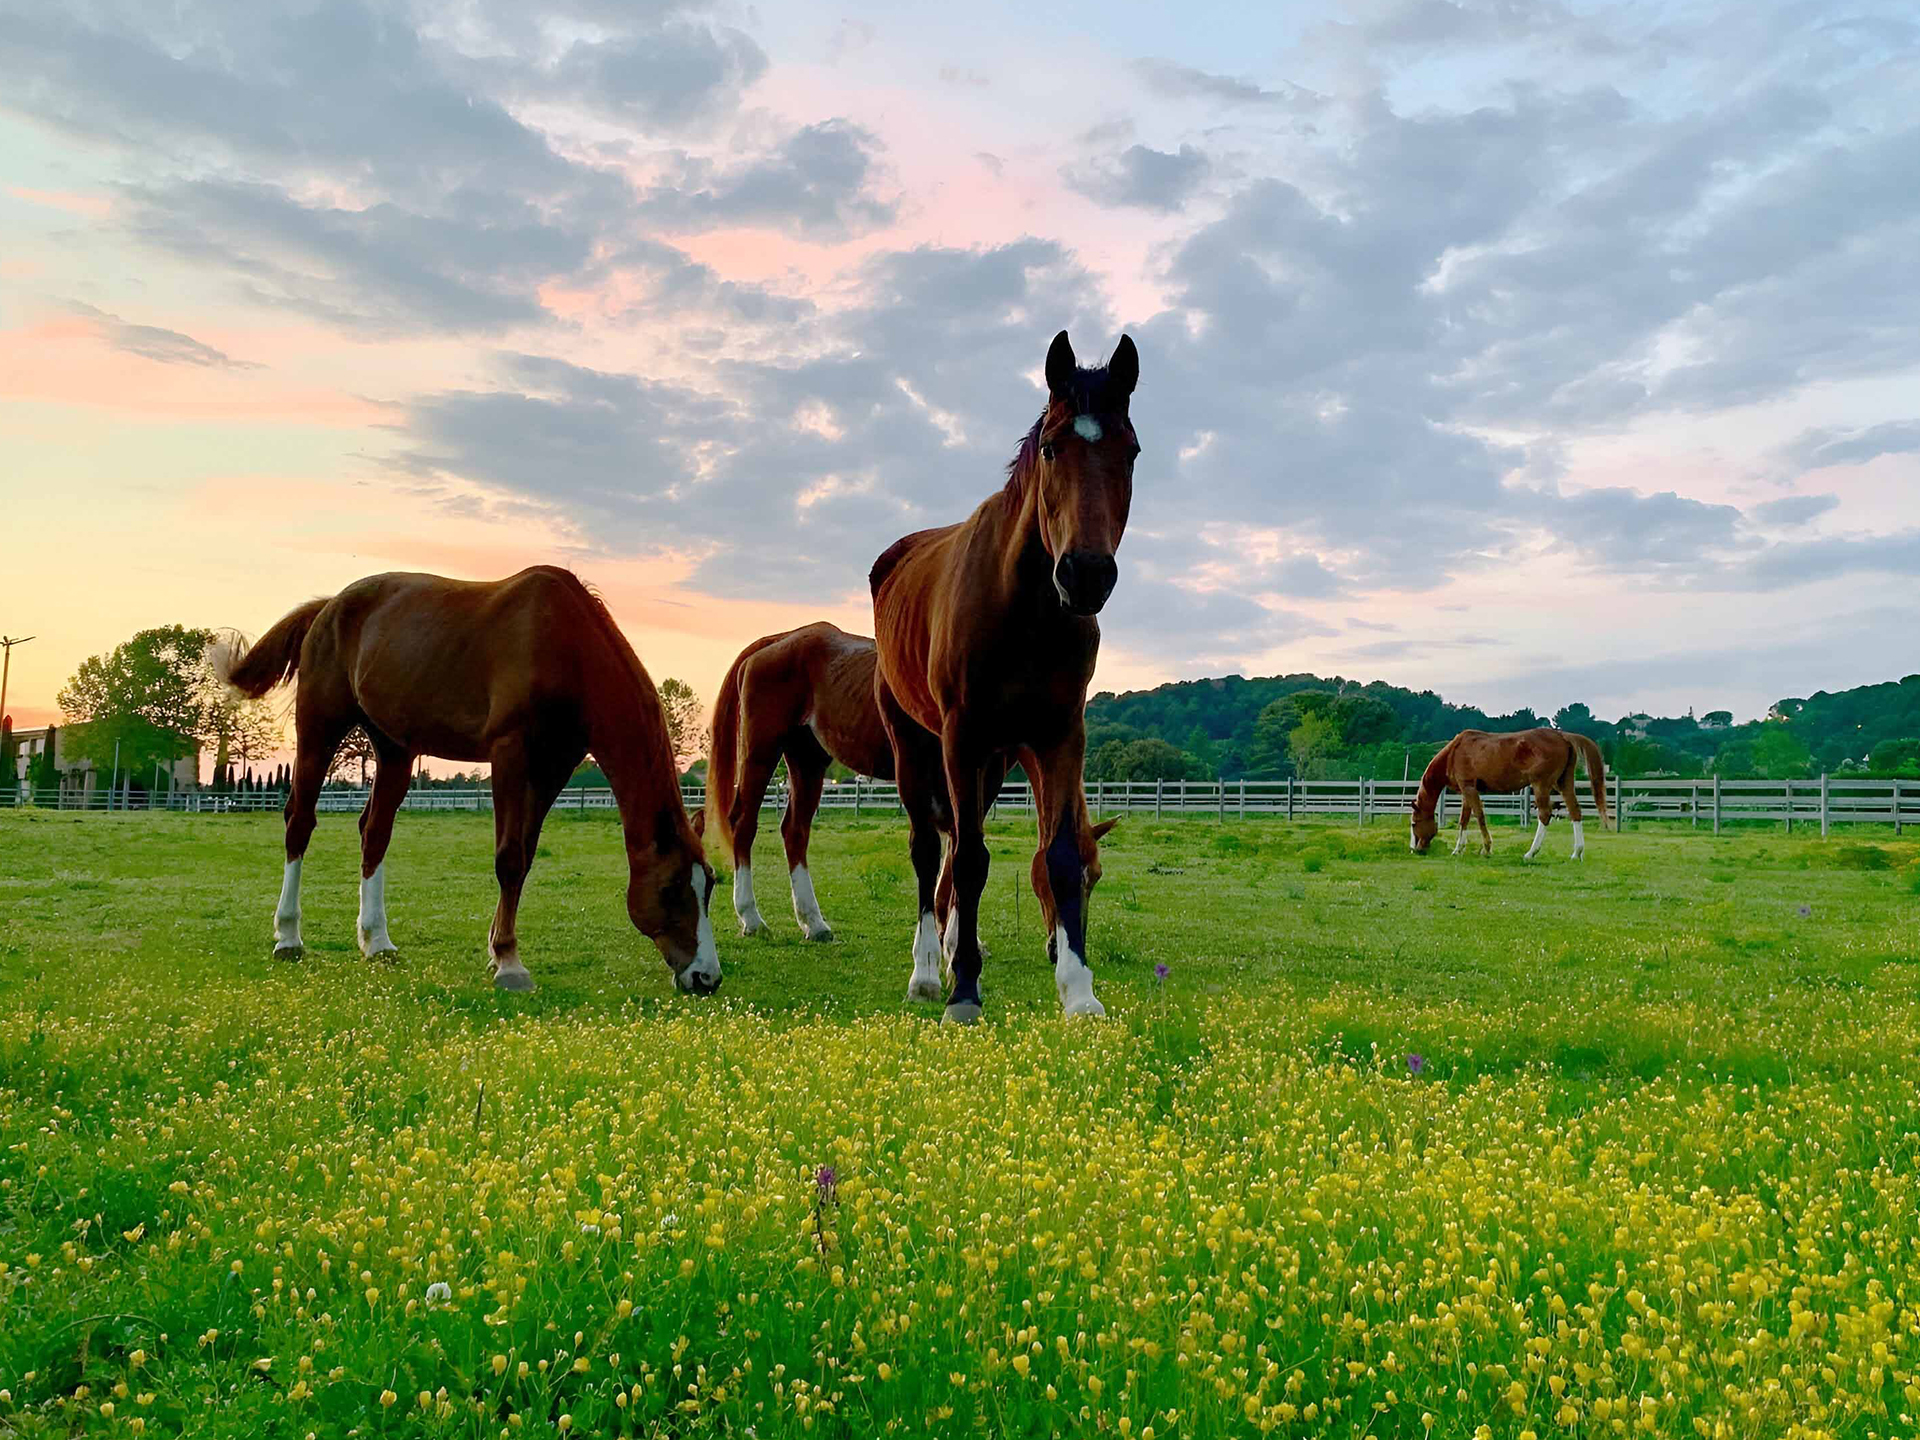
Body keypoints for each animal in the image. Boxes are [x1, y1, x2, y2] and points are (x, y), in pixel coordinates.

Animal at [214, 567, 721, 994]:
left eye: (710, 886)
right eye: (671, 888)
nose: (706, 977)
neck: (565, 644)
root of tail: (328, 607)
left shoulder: (554, 765)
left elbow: (526, 855)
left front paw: (498, 949)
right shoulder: (510, 753)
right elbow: (509, 858)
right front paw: (510, 963)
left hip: (394, 749)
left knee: (374, 833)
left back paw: (376, 942)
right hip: (319, 730)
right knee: (299, 823)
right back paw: (288, 937)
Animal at [702, 621, 1010, 947]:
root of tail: (776, 641)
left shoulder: (987, 775)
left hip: (807, 759)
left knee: (795, 831)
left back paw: (814, 923)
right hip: (761, 750)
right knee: (744, 824)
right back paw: (751, 918)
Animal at [870, 329, 1139, 1023]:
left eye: (1130, 450)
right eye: (1050, 447)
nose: (1086, 574)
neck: (1026, 610)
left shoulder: (1058, 736)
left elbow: (1056, 854)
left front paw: (1079, 991)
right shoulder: (962, 736)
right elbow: (968, 859)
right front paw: (963, 991)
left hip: (991, 764)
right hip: (917, 746)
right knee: (929, 850)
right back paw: (927, 972)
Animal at [1410, 727, 1611, 859]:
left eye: (1413, 824)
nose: (1415, 849)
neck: (1455, 751)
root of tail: (1563, 736)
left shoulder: (1469, 789)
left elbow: (1479, 816)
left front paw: (1486, 848)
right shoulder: (1467, 790)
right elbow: (1464, 820)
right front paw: (1458, 849)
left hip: (1541, 785)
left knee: (1545, 815)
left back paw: (1531, 853)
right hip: (1564, 783)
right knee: (1575, 811)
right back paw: (1577, 852)